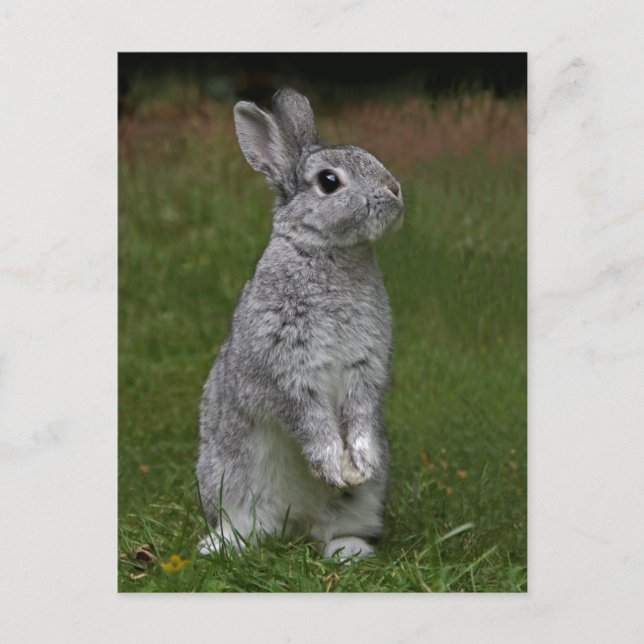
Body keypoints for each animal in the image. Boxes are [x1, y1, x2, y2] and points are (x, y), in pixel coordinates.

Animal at [196, 88, 403, 560]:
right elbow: (308, 418)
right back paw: (220, 546)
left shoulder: (366, 368)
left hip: (362, 503)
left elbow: (361, 412)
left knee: (336, 527)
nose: (394, 190)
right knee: (246, 524)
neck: (329, 250)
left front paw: (358, 464)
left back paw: (348, 550)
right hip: (228, 478)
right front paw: (331, 464)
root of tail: (295, 522)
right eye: (329, 181)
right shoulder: (287, 370)